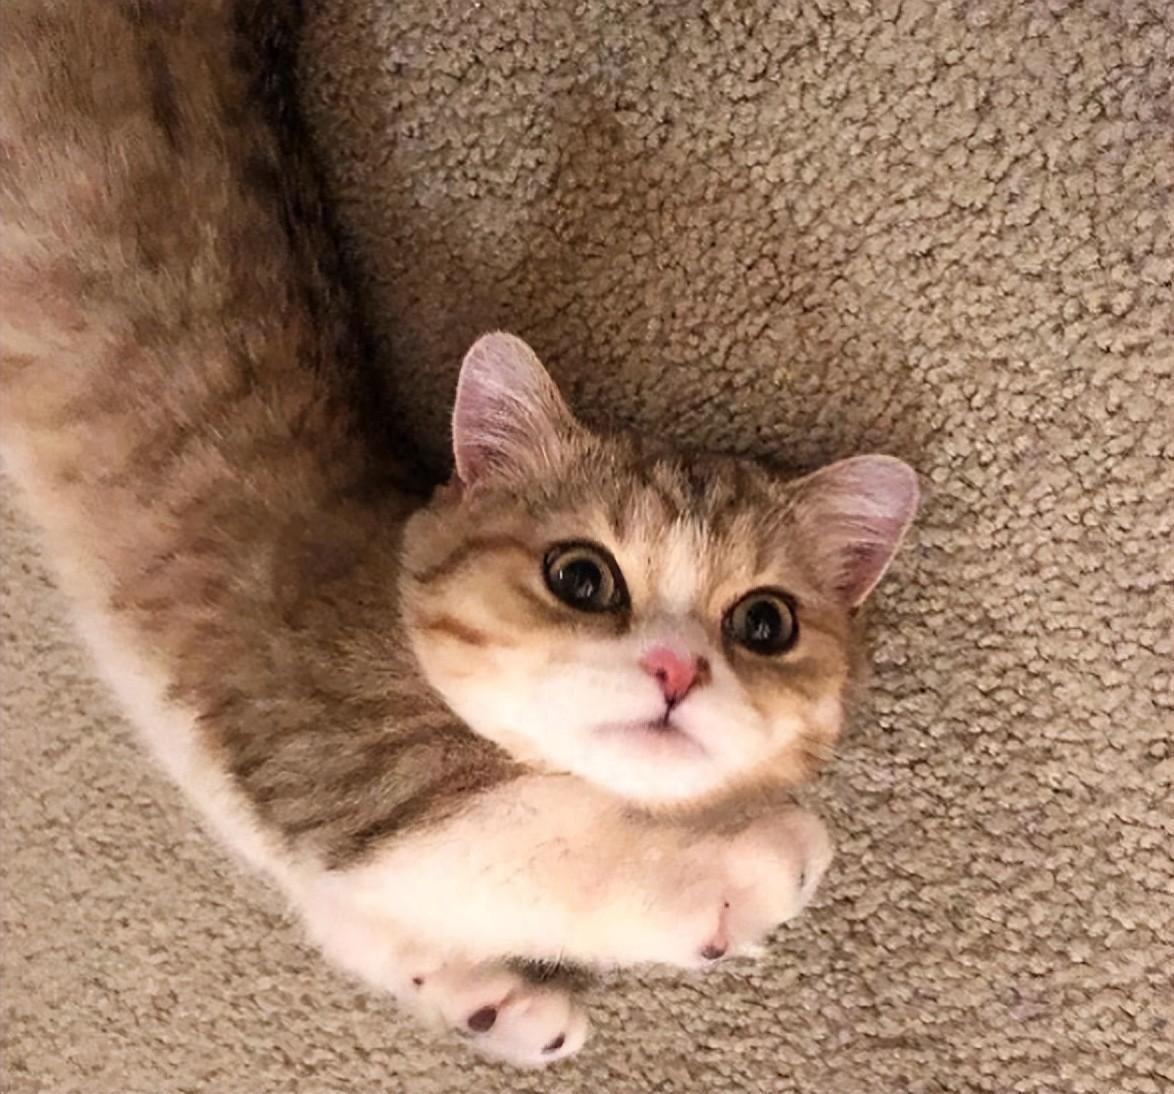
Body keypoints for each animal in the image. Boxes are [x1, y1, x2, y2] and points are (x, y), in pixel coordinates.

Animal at [0, 0, 918, 1067]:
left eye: (765, 623)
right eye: (582, 577)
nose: (676, 670)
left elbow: (365, 924)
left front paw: (490, 1000)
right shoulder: (337, 749)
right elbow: (522, 839)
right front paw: (739, 863)